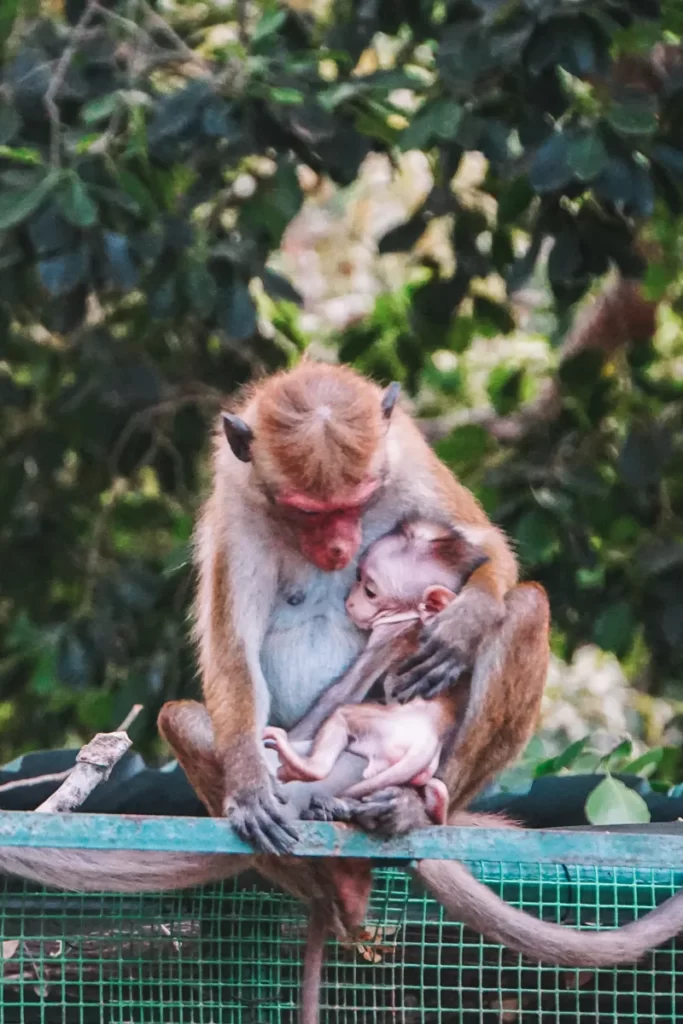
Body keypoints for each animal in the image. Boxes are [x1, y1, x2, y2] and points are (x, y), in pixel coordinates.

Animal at [264, 520, 491, 823]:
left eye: (369, 591)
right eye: (358, 577)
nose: (350, 600)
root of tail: (427, 739)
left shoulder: (389, 632)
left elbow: (344, 691)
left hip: (382, 731)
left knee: (342, 717)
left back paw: (305, 767)